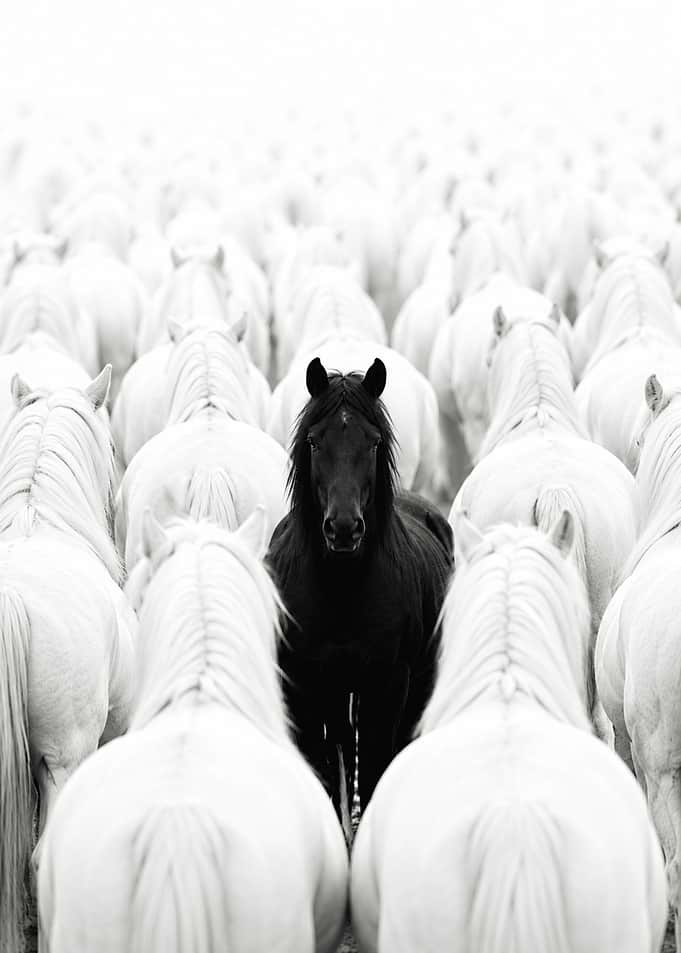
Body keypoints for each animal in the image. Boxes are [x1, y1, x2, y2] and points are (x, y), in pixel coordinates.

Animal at [267, 357, 453, 820]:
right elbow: (326, 773)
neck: (342, 589)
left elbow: (371, 771)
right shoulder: (306, 687)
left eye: (372, 442)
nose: (344, 527)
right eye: (314, 442)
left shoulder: (386, 686)